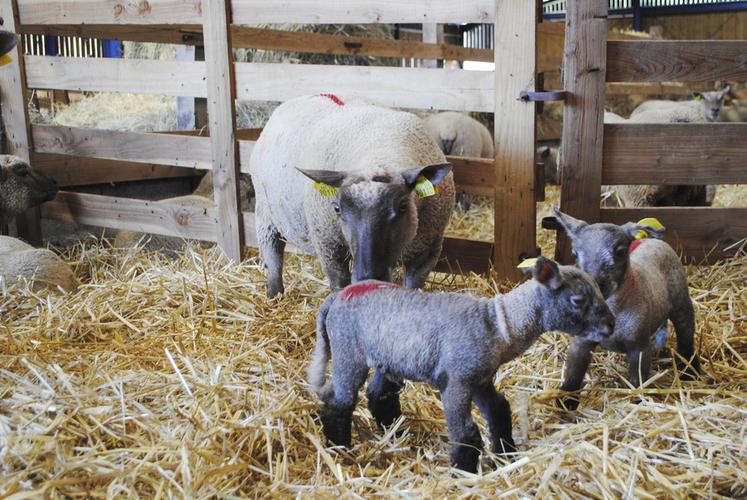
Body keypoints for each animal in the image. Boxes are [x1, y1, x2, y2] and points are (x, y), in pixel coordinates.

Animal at [250, 94, 456, 296]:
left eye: (403, 206)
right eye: (337, 209)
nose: (367, 277)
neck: (379, 148)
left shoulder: (427, 250)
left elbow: (413, 285)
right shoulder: (328, 244)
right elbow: (339, 282)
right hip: (265, 214)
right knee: (273, 255)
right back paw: (274, 294)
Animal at [306, 258, 616, 472]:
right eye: (578, 300)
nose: (611, 325)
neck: (499, 324)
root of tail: (336, 297)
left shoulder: (479, 379)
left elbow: (499, 410)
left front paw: (506, 454)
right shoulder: (456, 381)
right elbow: (466, 433)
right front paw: (465, 472)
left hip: (387, 357)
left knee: (378, 395)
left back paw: (393, 430)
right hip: (349, 352)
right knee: (339, 403)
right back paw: (339, 448)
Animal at [552, 208, 704, 410]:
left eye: (620, 251)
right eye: (575, 253)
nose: (592, 287)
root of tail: (651, 240)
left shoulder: (639, 347)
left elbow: (638, 381)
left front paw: (639, 402)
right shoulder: (581, 342)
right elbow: (573, 374)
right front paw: (566, 402)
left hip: (681, 301)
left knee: (686, 336)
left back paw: (690, 371)